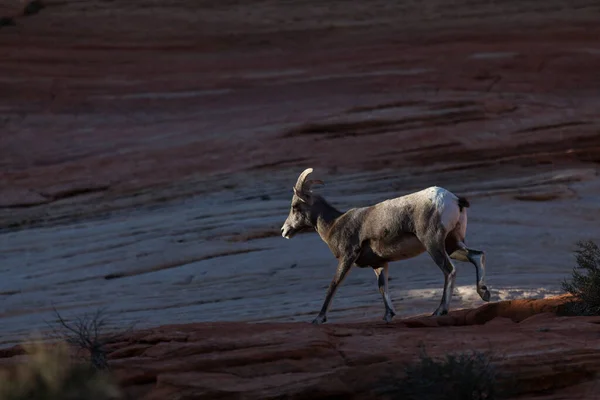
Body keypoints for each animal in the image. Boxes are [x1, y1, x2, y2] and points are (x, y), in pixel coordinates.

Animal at [280, 167, 488, 324]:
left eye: (295, 207)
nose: (284, 230)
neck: (334, 224)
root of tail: (454, 199)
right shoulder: (380, 264)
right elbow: (383, 287)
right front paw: (388, 316)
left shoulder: (348, 256)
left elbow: (334, 284)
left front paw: (318, 318)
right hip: (452, 244)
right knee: (476, 255)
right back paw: (484, 293)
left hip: (433, 244)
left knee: (449, 270)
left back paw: (440, 310)